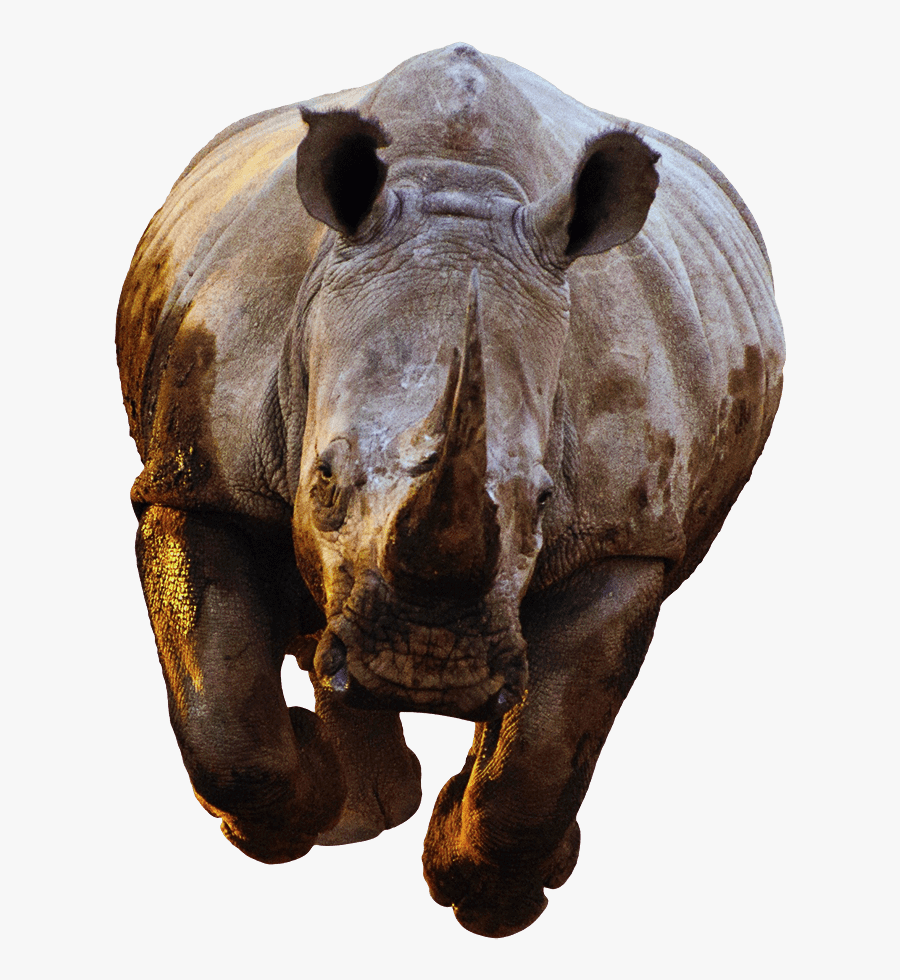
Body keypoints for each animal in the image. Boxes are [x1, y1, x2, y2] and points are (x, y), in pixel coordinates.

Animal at [117, 43, 784, 937]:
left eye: (544, 501)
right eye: (322, 480)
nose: (426, 668)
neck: (458, 186)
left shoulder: (626, 536)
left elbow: (547, 746)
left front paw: (489, 895)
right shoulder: (196, 474)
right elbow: (224, 721)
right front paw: (294, 809)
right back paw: (362, 812)